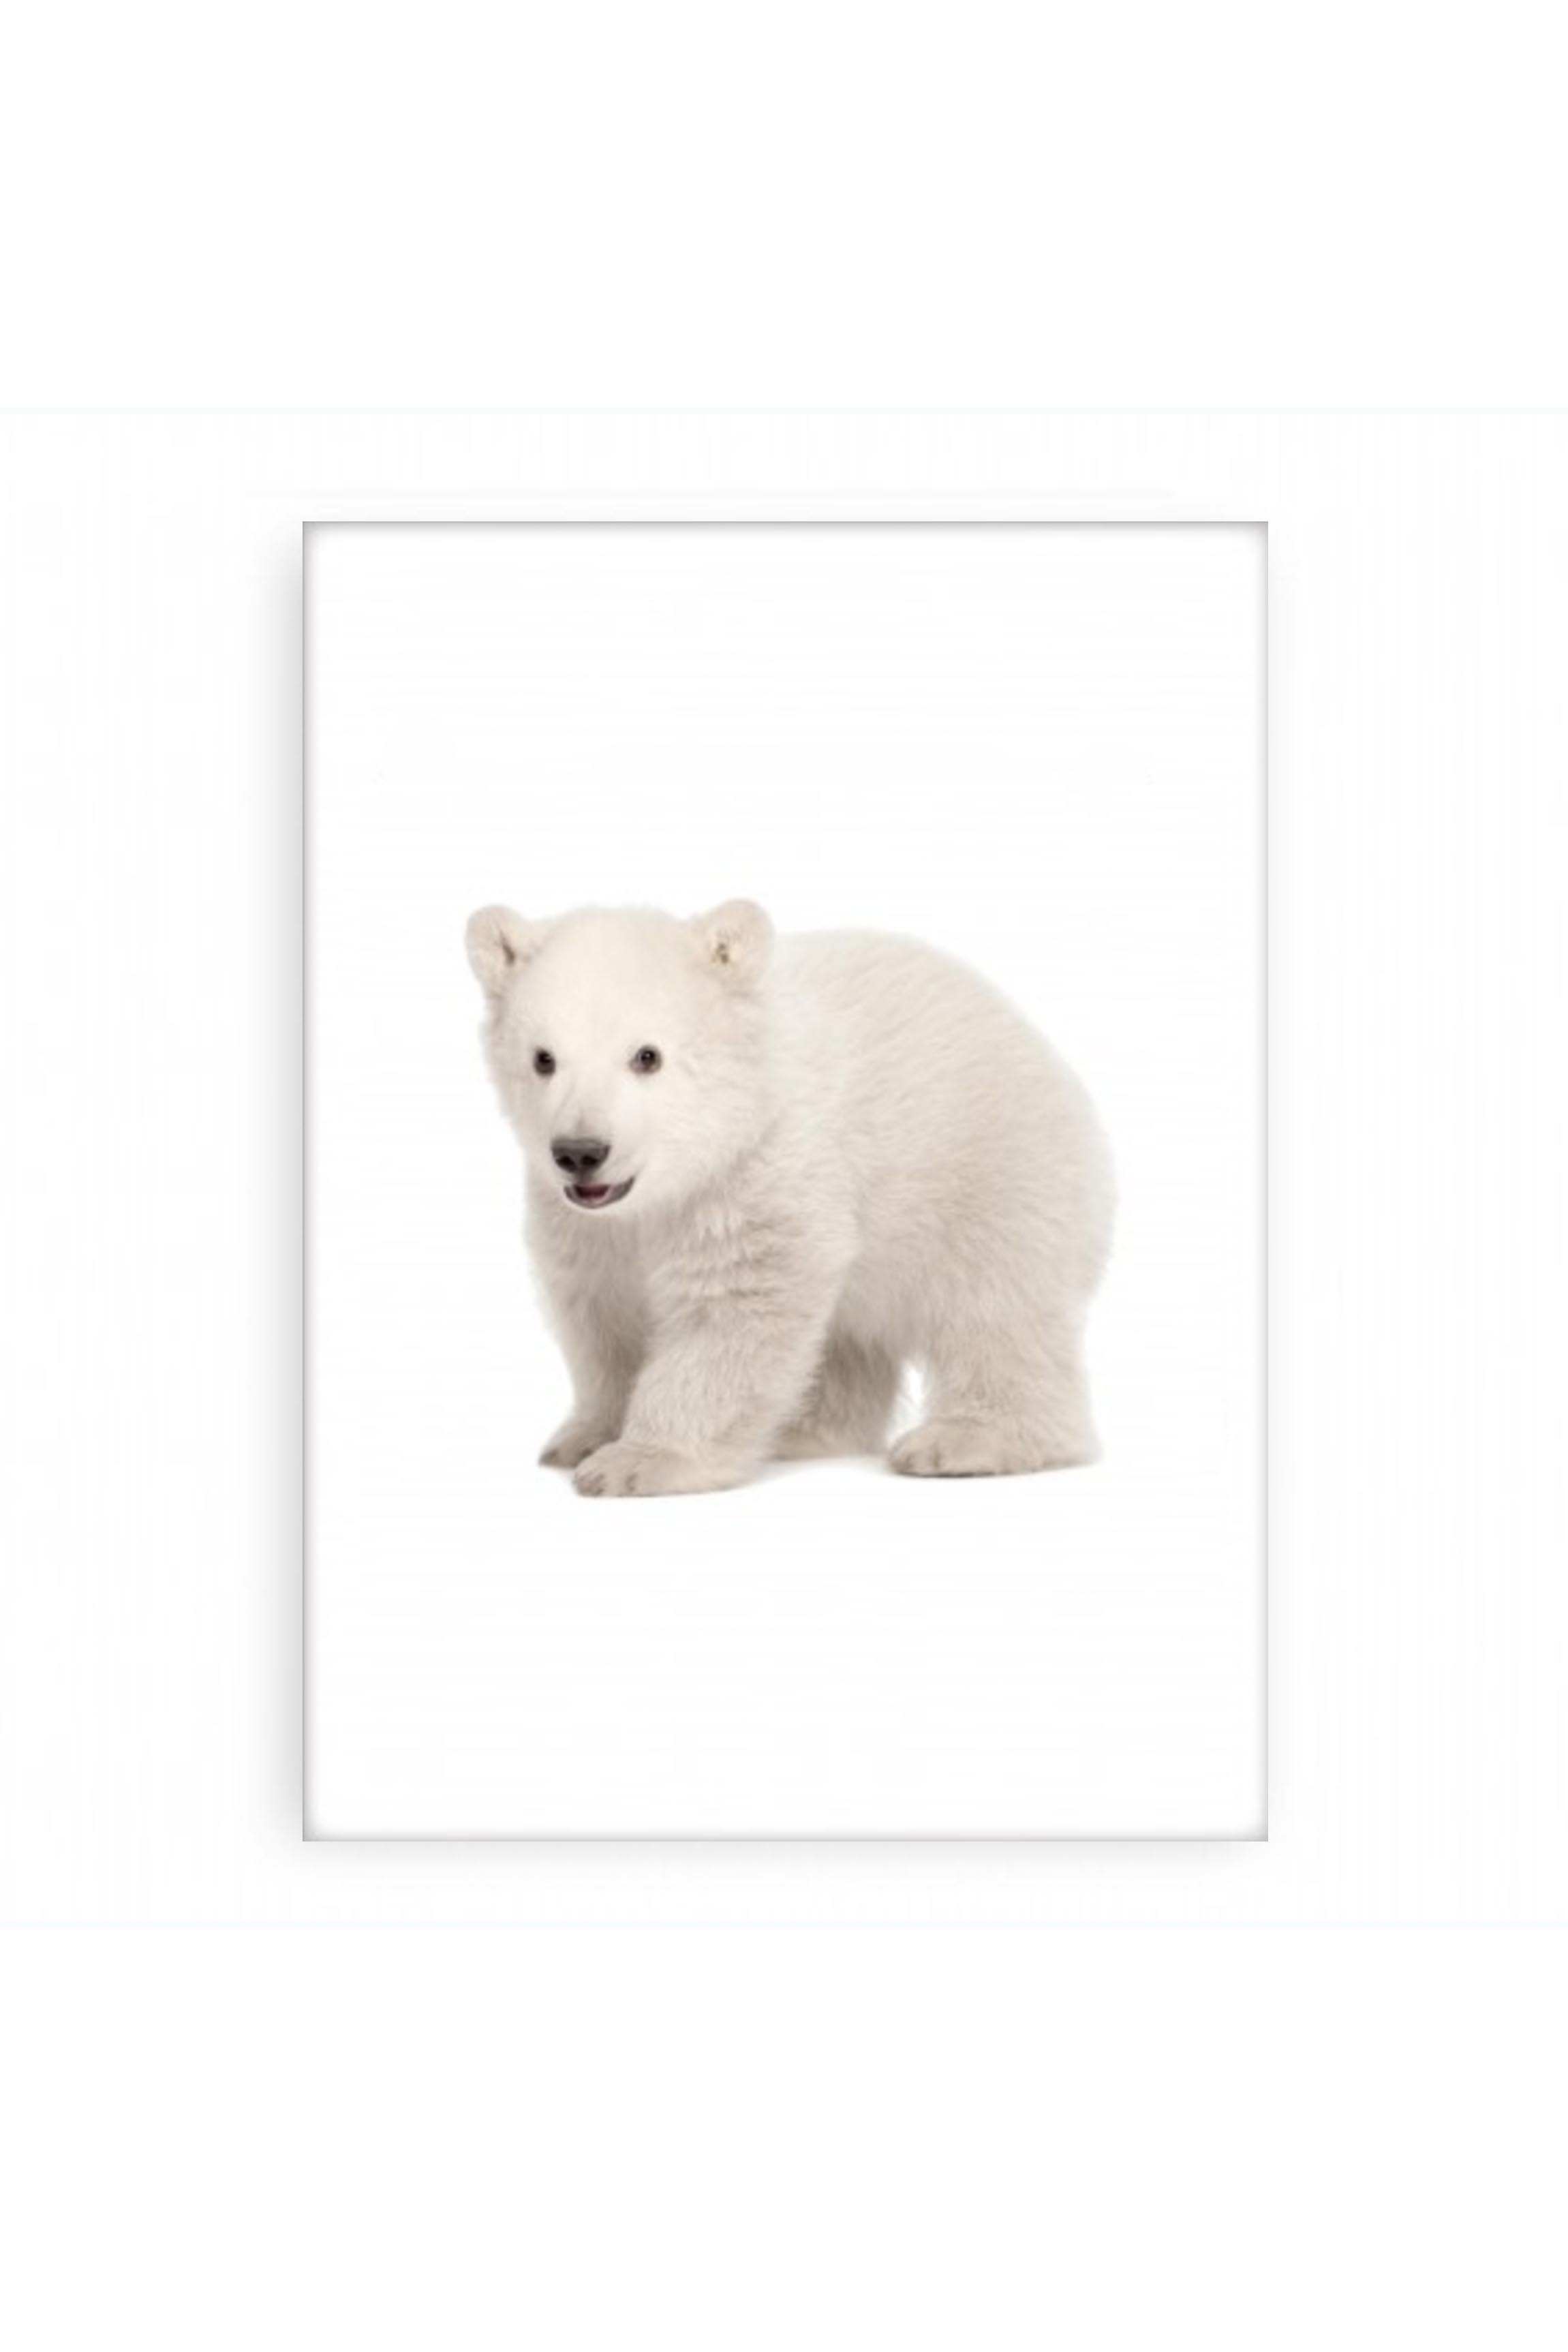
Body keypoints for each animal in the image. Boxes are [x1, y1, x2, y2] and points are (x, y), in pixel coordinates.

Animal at [465, 899, 1113, 1498]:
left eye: (647, 1056)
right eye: (543, 1058)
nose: (580, 1151)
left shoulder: (758, 1179)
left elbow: (732, 1316)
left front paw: (635, 1462)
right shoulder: (580, 1224)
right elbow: (604, 1320)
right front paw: (583, 1436)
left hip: (990, 1169)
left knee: (996, 1309)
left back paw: (966, 1440)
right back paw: (801, 1426)